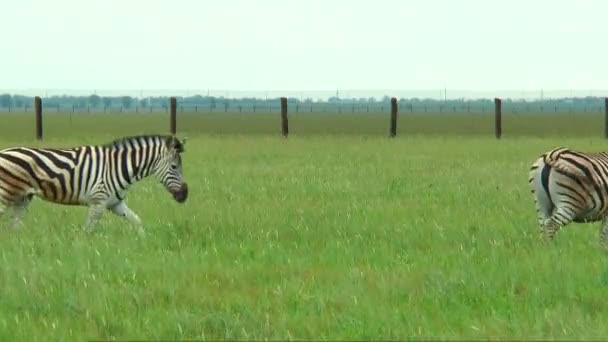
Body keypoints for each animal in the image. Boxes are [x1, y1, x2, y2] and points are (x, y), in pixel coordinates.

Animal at [0, 134, 188, 235]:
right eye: (174, 167)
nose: (185, 195)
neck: (119, 167)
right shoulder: (98, 201)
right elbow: (88, 231)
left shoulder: (115, 203)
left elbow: (137, 220)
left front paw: (143, 241)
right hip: (5, 193)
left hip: (23, 197)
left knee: (14, 226)